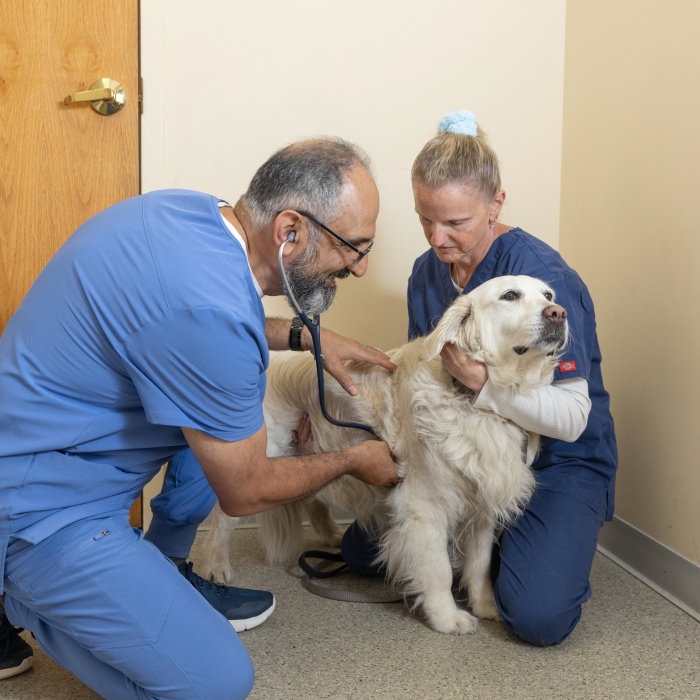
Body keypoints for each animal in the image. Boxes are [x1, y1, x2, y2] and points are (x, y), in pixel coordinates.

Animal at [201, 276, 568, 636]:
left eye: (548, 295)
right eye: (510, 296)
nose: (559, 313)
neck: (471, 398)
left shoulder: (483, 502)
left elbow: (479, 565)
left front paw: (486, 606)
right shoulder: (423, 506)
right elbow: (438, 569)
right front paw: (447, 618)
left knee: (312, 501)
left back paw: (333, 536)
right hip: (257, 468)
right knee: (223, 519)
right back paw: (216, 566)